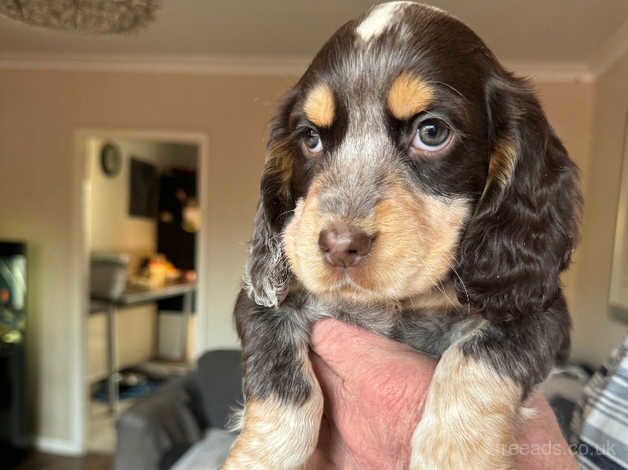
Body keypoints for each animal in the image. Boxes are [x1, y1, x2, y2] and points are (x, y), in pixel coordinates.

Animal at [223, 1, 580, 468]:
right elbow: (283, 387)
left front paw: (453, 454)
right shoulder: (260, 303)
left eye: (432, 132)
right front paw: (257, 458)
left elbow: (478, 357)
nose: (339, 246)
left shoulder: (538, 311)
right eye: (310, 138)